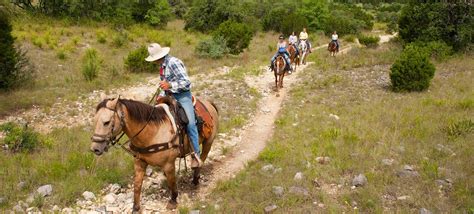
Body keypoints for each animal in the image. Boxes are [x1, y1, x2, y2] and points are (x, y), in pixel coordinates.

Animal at [91, 96, 220, 211]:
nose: (95, 149)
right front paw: (136, 208)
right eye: (95, 121)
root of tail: (209, 103)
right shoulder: (139, 162)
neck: (152, 132)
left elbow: (172, 182)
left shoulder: (168, 164)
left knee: (202, 158)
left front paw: (173, 200)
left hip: (208, 142)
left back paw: (196, 178)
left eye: (106, 122)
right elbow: (137, 186)